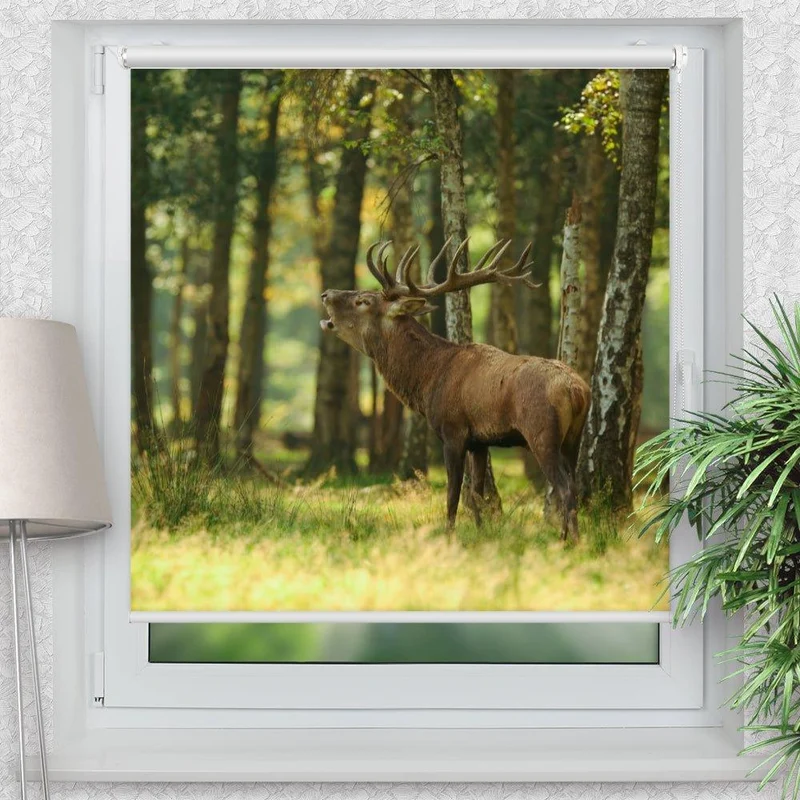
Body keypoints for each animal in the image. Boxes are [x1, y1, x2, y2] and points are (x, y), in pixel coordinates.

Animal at [319, 238, 590, 542]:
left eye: (363, 301)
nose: (326, 293)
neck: (429, 380)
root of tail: (577, 391)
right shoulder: (480, 442)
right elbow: (476, 495)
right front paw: (482, 532)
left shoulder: (453, 431)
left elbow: (453, 494)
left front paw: (449, 535)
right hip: (573, 438)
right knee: (574, 484)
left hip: (542, 432)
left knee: (565, 487)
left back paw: (569, 540)